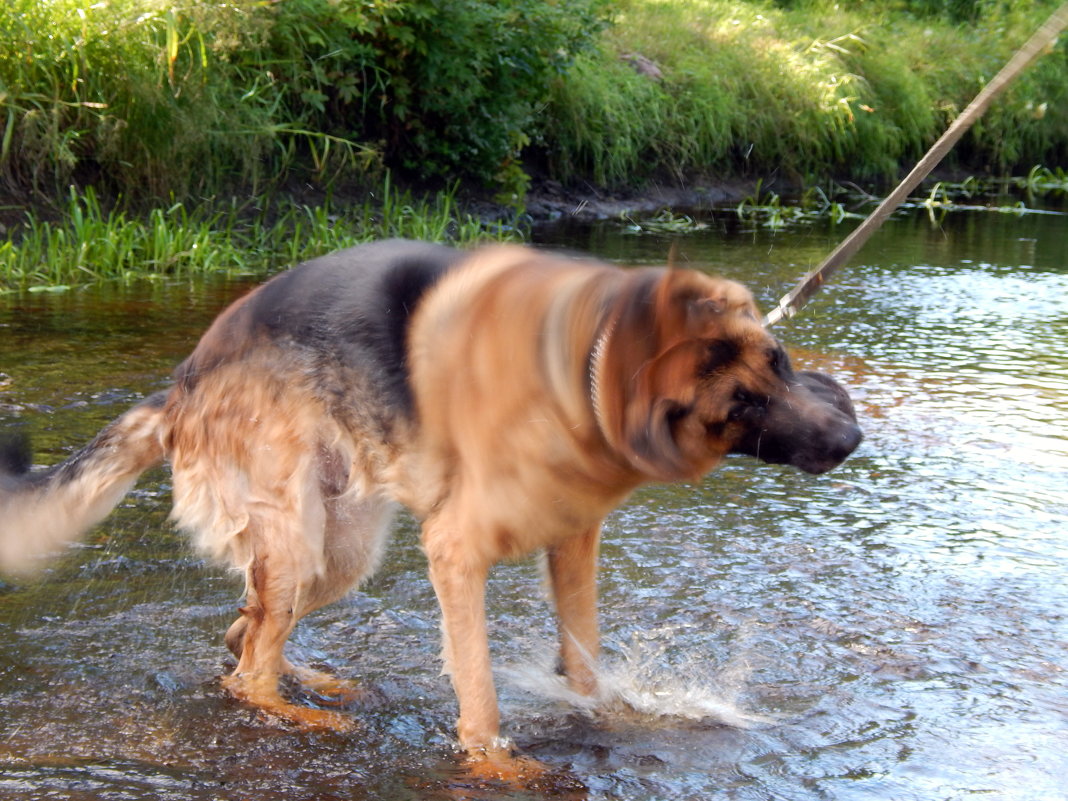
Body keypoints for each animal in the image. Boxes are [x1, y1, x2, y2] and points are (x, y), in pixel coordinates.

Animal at [0, 243, 858, 773]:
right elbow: (478, 689)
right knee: (249, 672)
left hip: (339, 549)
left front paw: (613, 717)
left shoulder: (574, 544)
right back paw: (313, 715)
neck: (583, 368)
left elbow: (585, 670)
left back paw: (318, 681)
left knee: (242, 635)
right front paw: (499, 766)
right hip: (303, 537)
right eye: (742, 405)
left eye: (781, 361)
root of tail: (180, 384)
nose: (850, 438)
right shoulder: (456, 551)